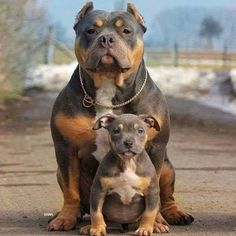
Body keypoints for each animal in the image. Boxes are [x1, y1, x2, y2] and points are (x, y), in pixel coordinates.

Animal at [47, 0, 194, 231]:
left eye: (126, 31)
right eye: (91, 30)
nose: (107, 38)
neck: (109, 86)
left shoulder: (156, 147)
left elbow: (155, 191)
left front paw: (155, 222)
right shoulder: (65, 148)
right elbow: (71, 190)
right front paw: (65, 217)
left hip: (169, 167)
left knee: (167, 195)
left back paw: (174, 214)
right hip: (60, 172)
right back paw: (71, 214)